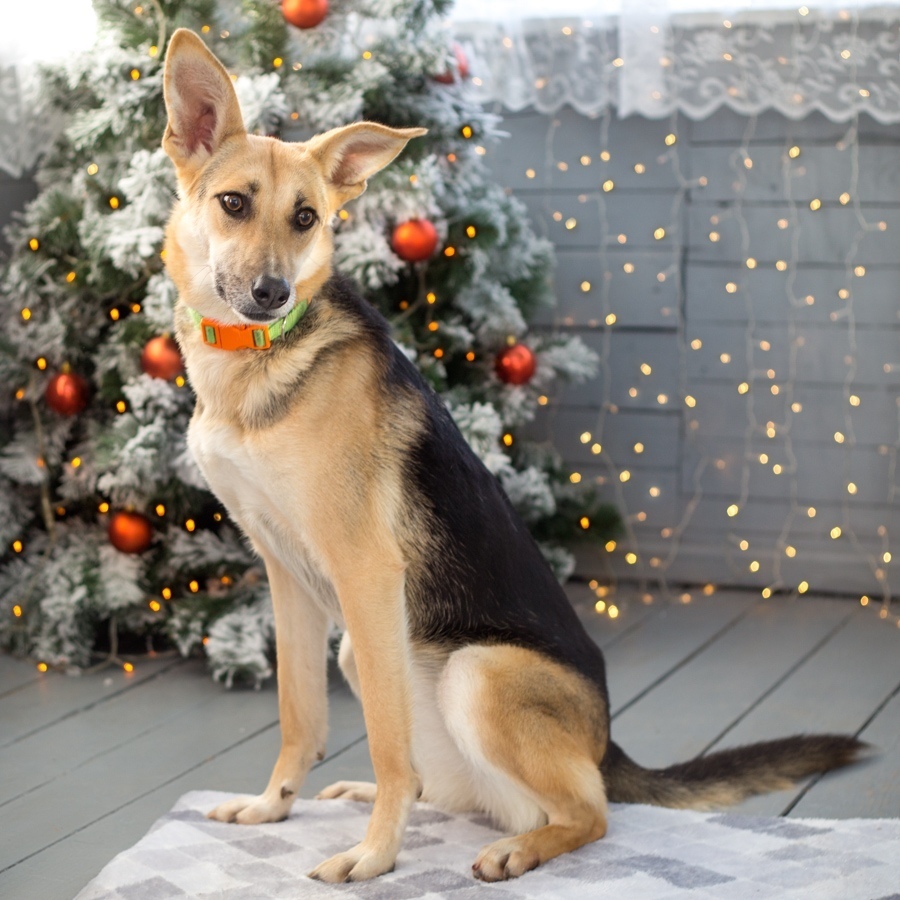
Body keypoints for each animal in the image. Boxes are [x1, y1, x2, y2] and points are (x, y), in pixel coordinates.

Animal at [160, 31, 864, 884]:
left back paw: (515, 849)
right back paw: (387, 800)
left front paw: (376, 857)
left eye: (305, 218)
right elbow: (299, 715)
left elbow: (389, 742)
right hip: (364, 652)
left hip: (471, 669)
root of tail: (606, 740)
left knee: (587, 813)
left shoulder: (365, 572)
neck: (255, 362)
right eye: (233, 203)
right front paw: (273, 807)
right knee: (452, 788)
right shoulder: (287, 575)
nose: (270, 294)